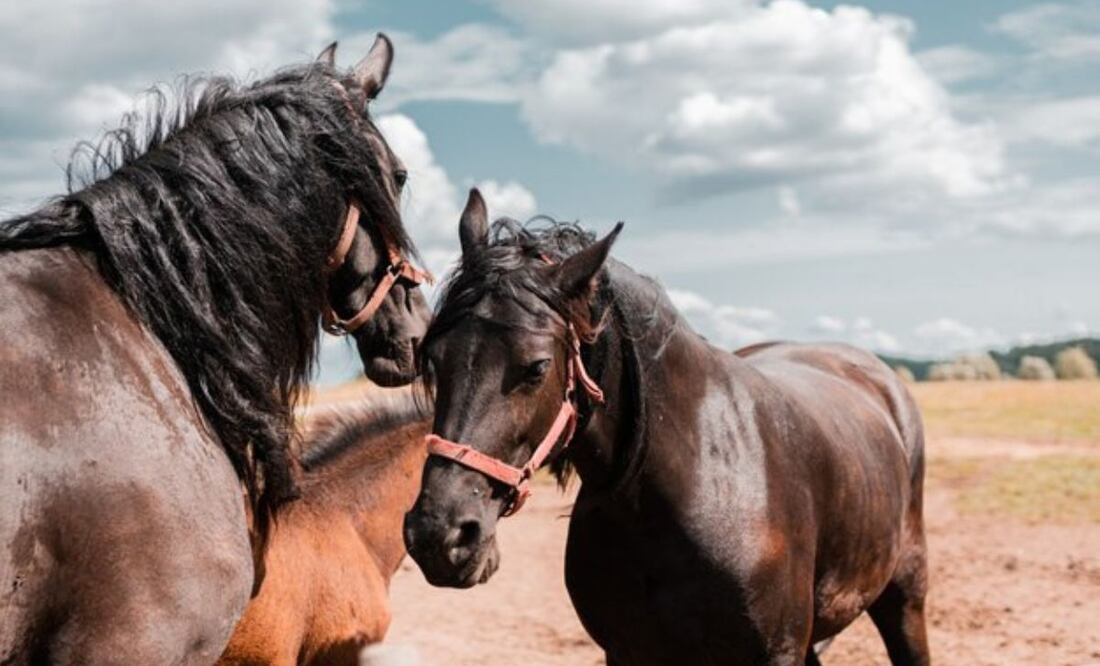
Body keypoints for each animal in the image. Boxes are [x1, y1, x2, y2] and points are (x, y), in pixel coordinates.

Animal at [403, 189, 930, 665]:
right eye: (433, 358)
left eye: (536, 367)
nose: (439, 536)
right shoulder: (628, 652)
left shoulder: (777, 653)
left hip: (905, 594)